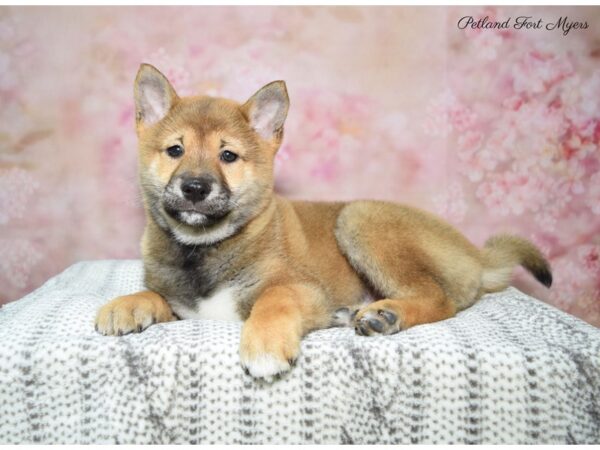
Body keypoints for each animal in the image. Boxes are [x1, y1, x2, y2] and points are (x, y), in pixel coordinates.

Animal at [95, 62, 552, 380]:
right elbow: (155, 295)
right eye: (175, 150)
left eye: (228, 156)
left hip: (360, 218)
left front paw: (264, 345)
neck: (203, 248)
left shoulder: (300, 288)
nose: (194, 188)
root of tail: (476, 256)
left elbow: (273, 301)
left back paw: (387, 315)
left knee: (438, 298)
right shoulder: (181, 304)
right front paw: (126, 305)